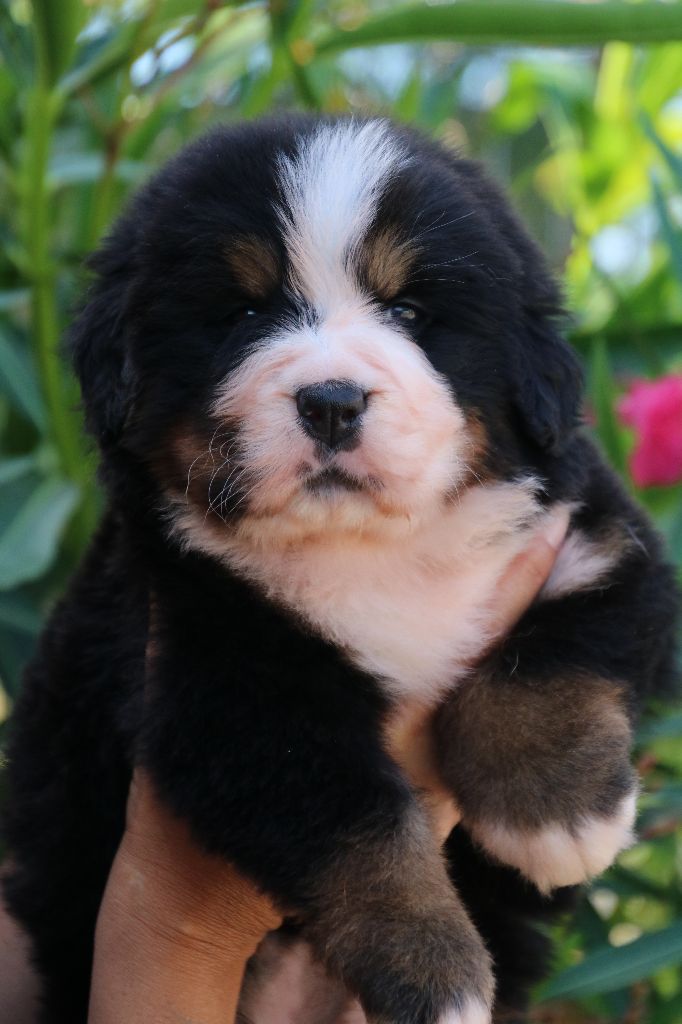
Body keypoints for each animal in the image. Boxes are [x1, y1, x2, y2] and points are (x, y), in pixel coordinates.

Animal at [2, 114, 675, 1024]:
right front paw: (434, 970)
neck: (370, 551)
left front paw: (558, 814)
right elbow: (360, 827)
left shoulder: (590, 528)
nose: (331, 401)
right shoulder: (227, 678)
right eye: (244, 311)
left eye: (409, 310)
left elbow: (556, 653)